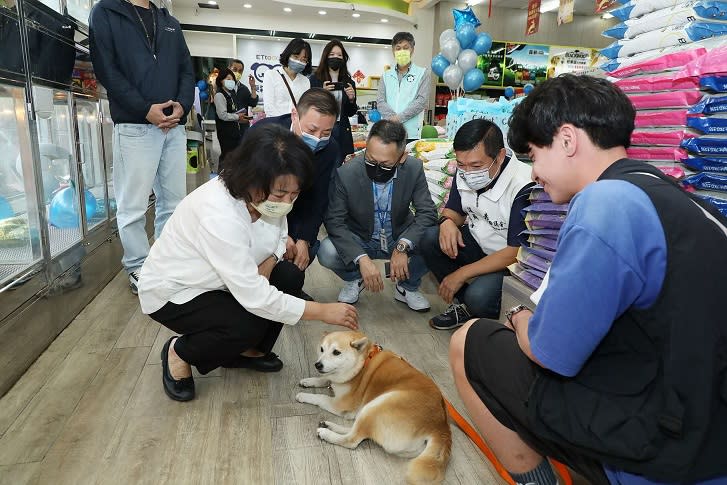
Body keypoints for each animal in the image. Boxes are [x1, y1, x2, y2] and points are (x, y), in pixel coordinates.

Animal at [294, 330, 450, 482]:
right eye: (321, 349)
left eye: (336, 352)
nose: (317, 364)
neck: (363, 363)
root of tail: (440, 427)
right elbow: (325, 378)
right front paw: (309, 381)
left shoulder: (340, 403)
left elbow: (320, 397)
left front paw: (303, 395)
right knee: (355, 430)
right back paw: (329, 425)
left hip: (377, 405)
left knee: (352, 440)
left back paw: (326, 433)